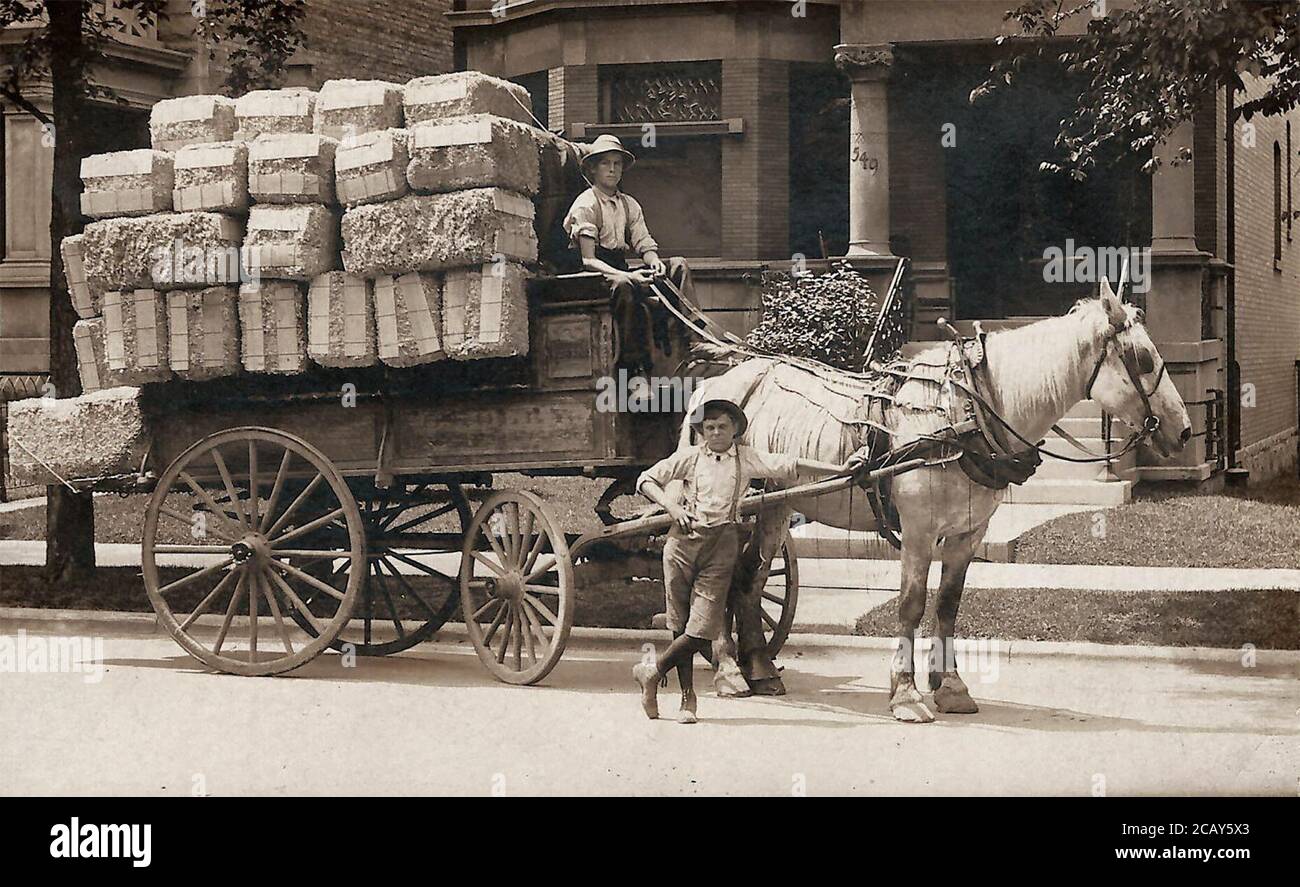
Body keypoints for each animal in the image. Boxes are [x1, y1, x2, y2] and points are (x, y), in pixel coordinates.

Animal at [686, 283, 1190, 717]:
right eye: (1143, 360)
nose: (1183, 430)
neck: (966, 414)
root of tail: (718, 383)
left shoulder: (968, 533)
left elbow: (948, 604)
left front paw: (950, 686)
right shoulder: (917, 531)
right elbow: (911, 604)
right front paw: (906, 693)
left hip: (773, 503)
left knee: (749, 578)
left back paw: (760, 669)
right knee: (718, 578)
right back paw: (729, 670)